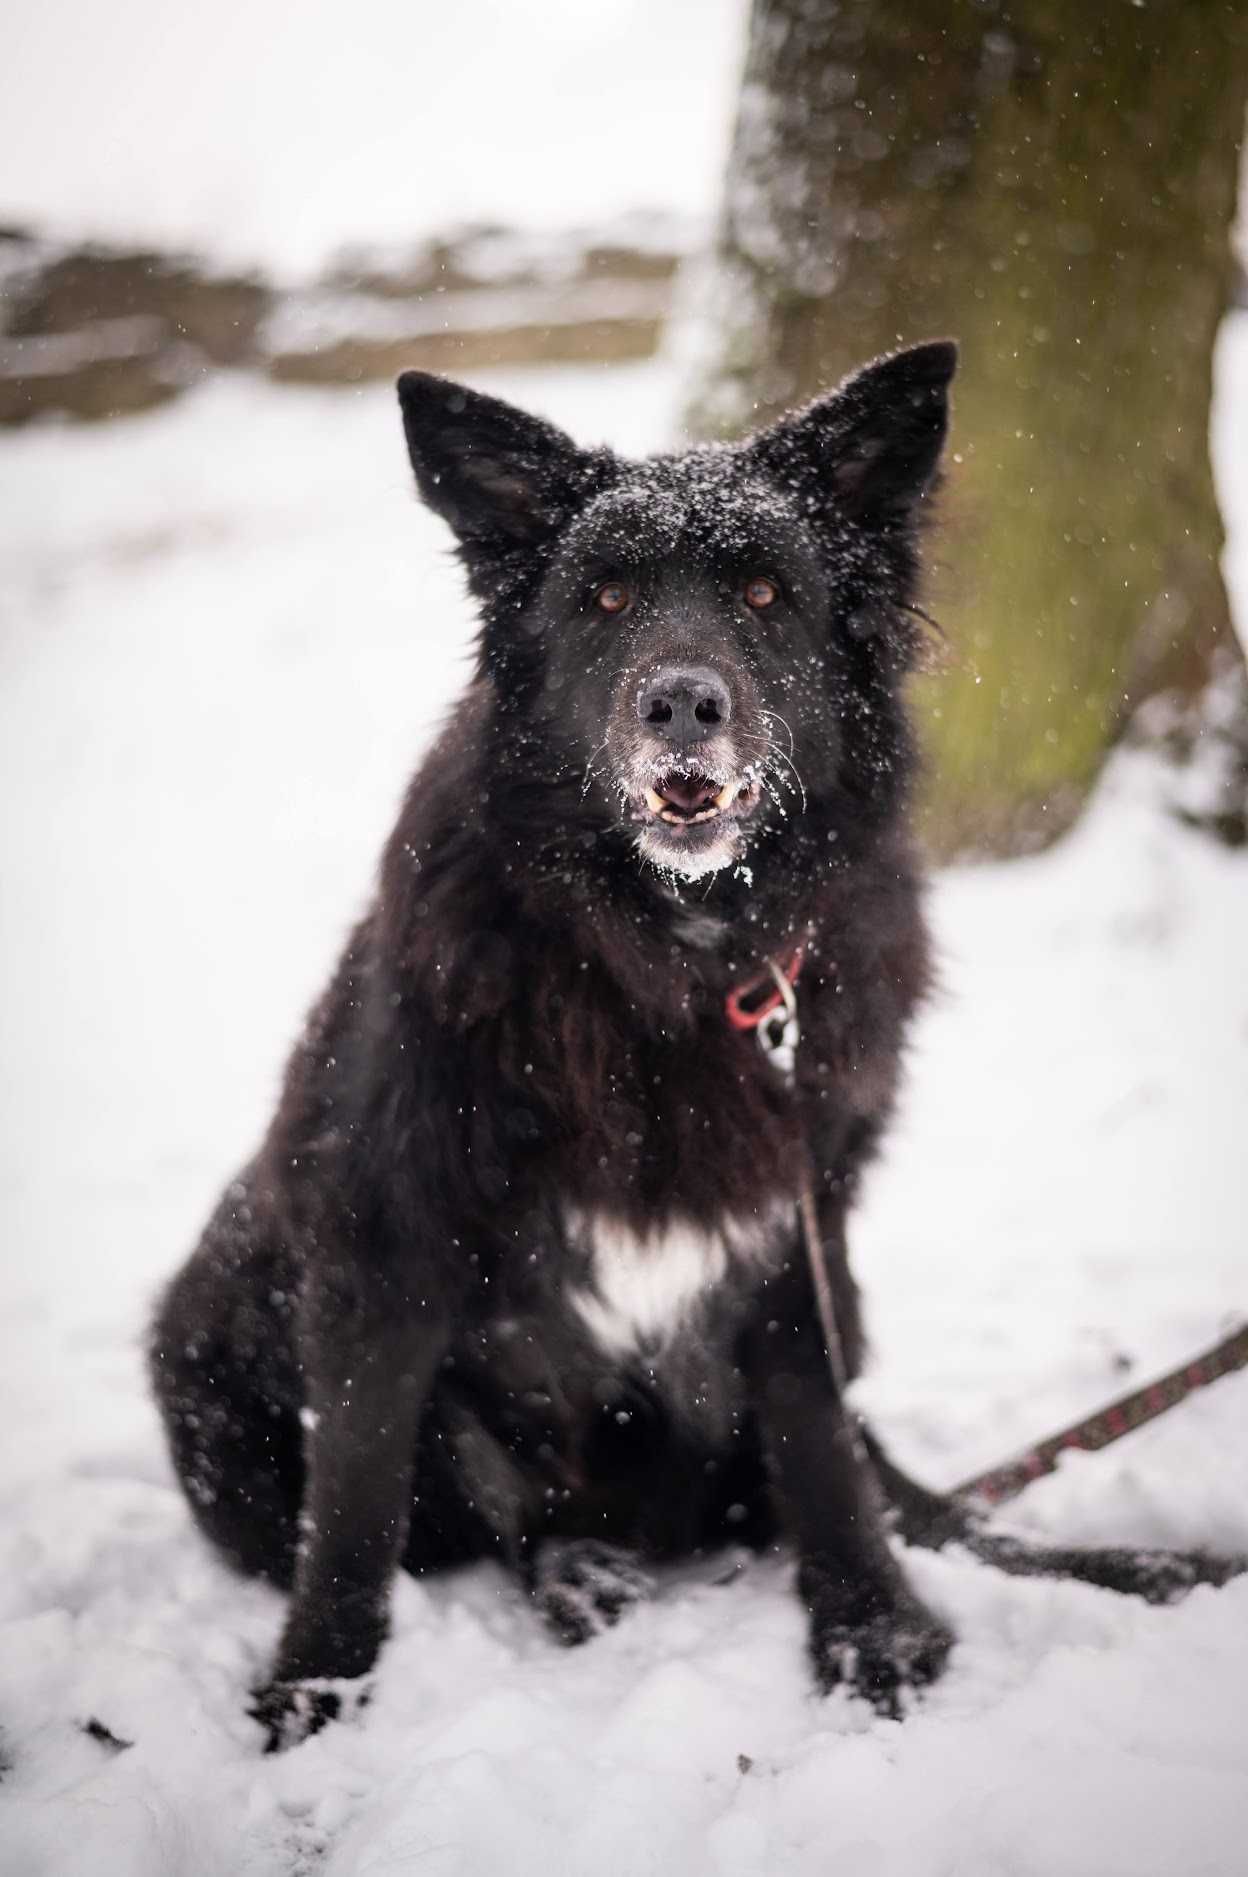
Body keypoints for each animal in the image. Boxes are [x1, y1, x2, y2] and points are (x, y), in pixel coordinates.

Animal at [148, 345, 1238, 1749]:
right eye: (606, 596)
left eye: (768, 593)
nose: (682, 701)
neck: (679, 958)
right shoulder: (384, 1233)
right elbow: (354, 1499)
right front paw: (317, 1691)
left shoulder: (795, 1224)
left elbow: (821, 1453)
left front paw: (873, 1630)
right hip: (212, 1343)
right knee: (484, 1525)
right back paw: (577, 1573)